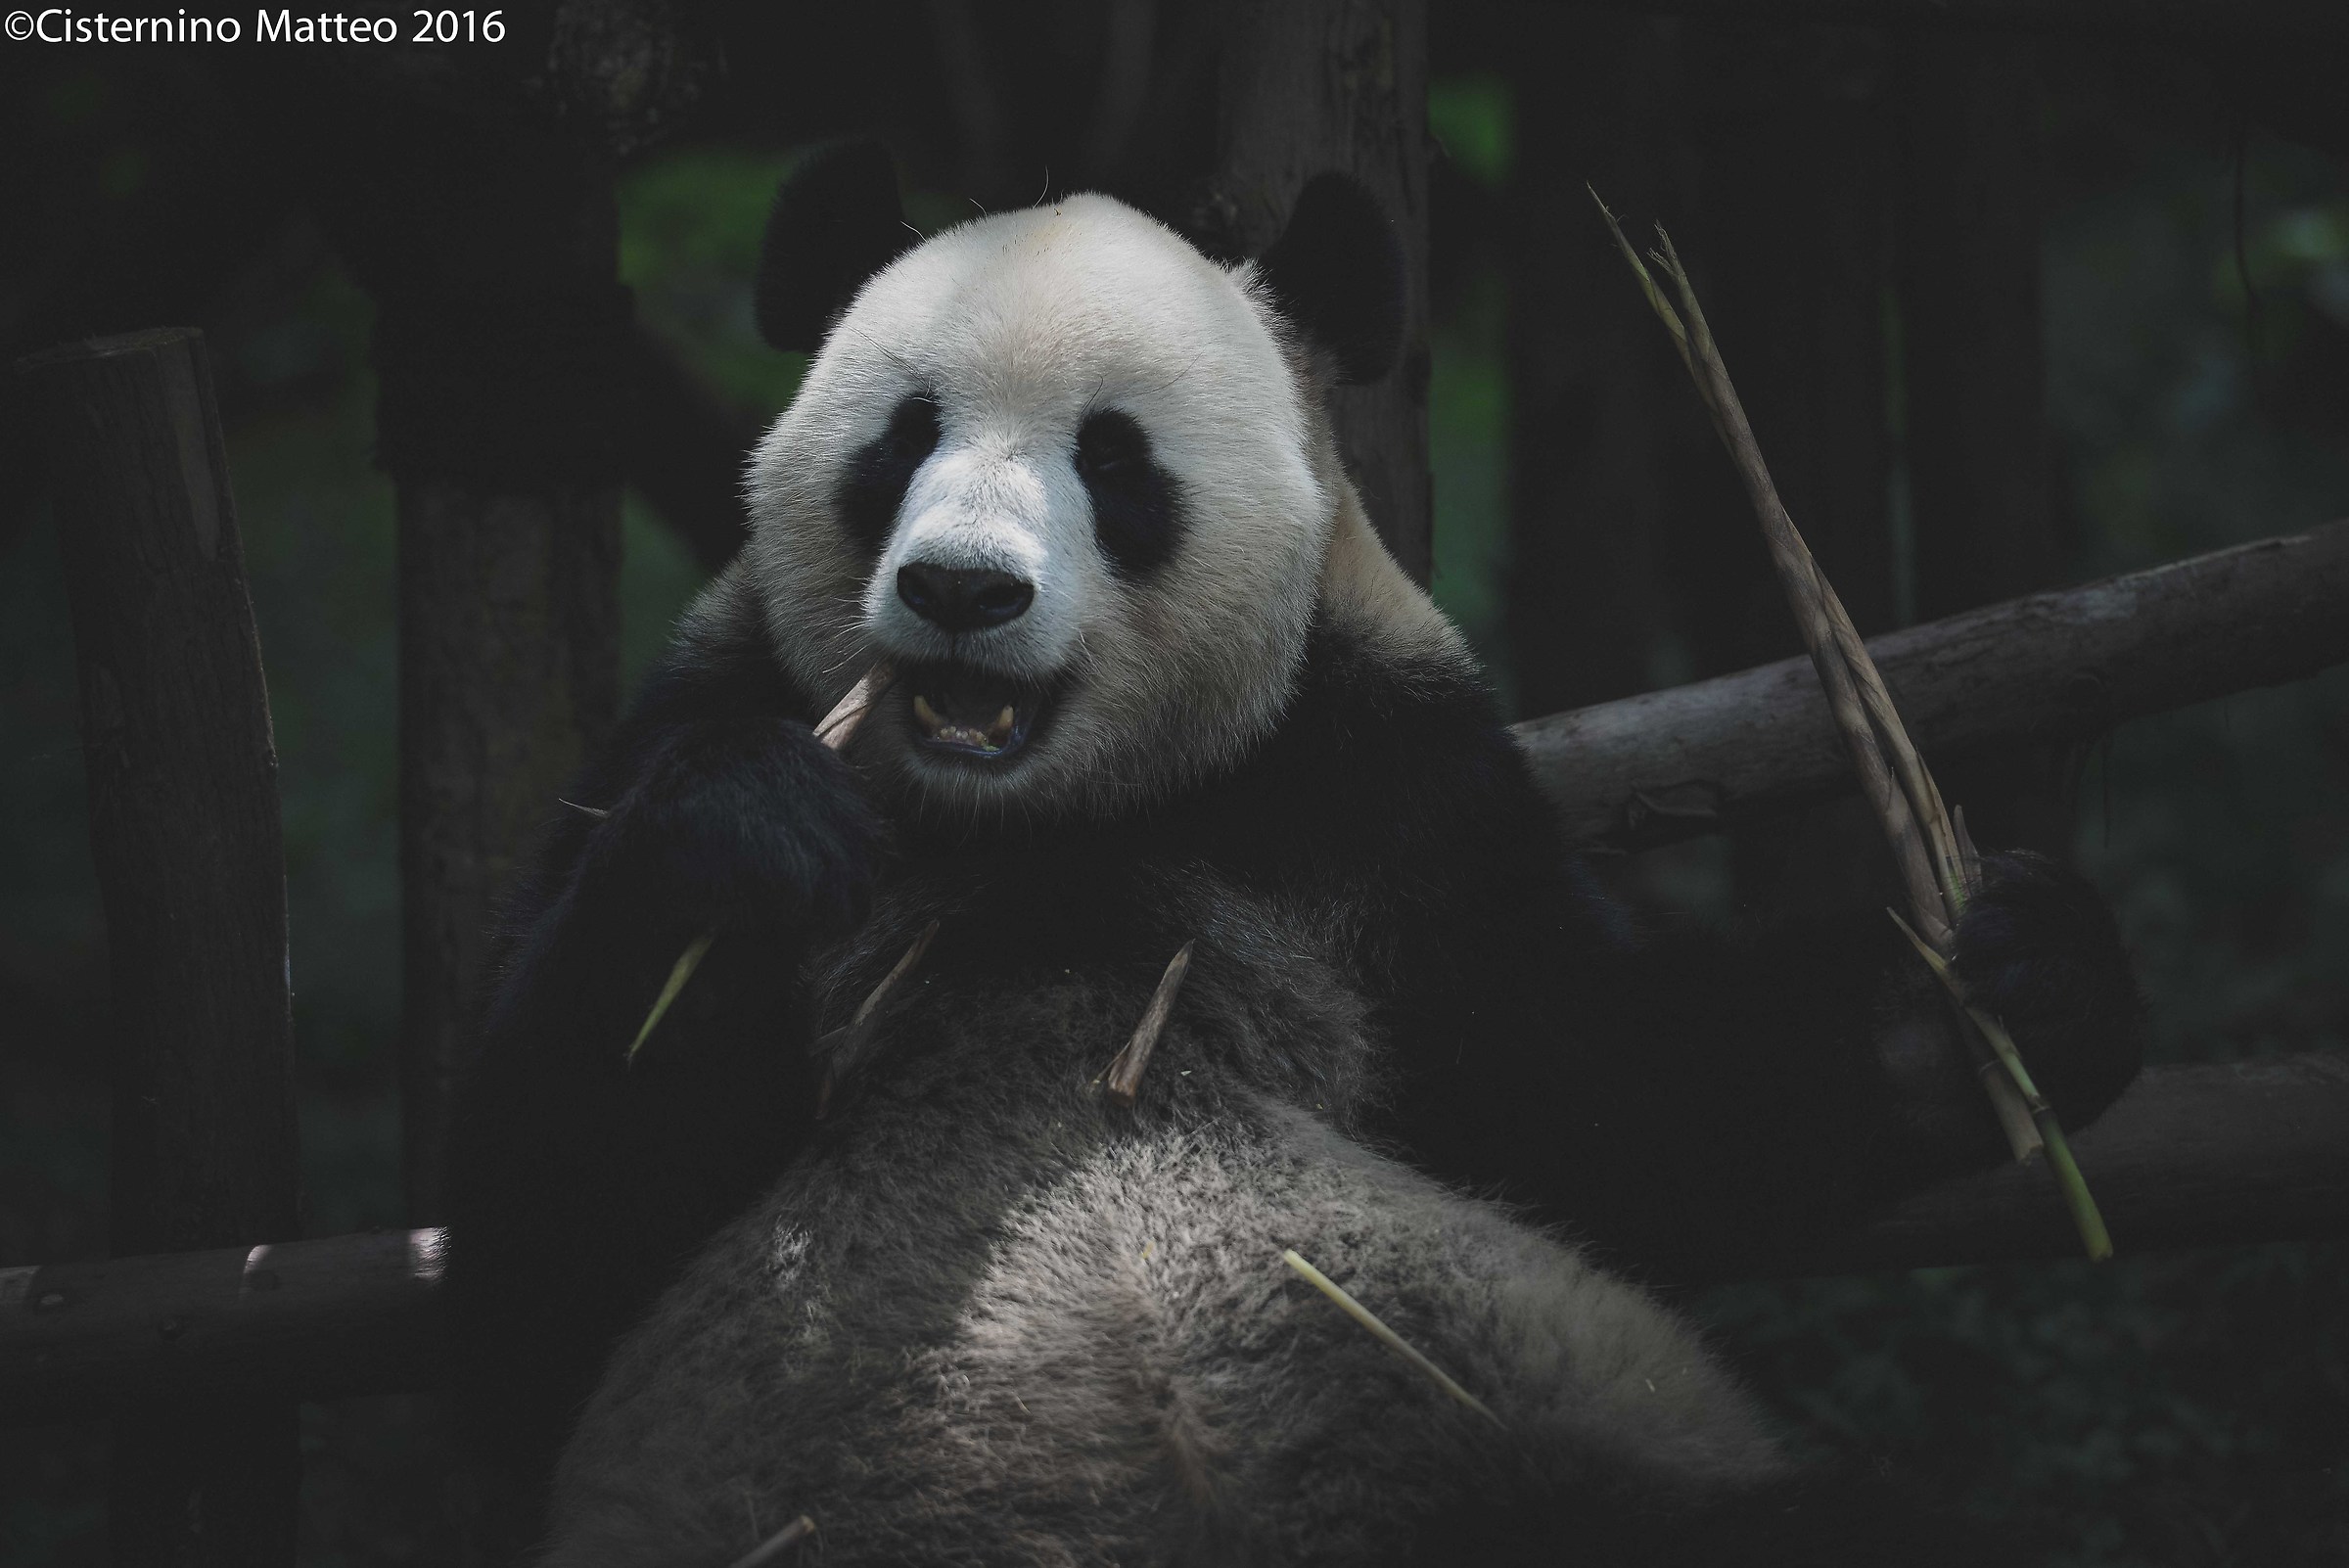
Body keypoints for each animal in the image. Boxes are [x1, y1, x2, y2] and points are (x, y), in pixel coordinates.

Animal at [444, 142, 2145, 1565]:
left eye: (1114, 461)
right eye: (903, 437)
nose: (962, 590)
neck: (1048, 820)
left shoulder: (1386, 792)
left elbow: (1620, 1085)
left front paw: (2013, 982)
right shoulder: (700, 710)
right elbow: (546, 1234)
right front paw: (739, 836)